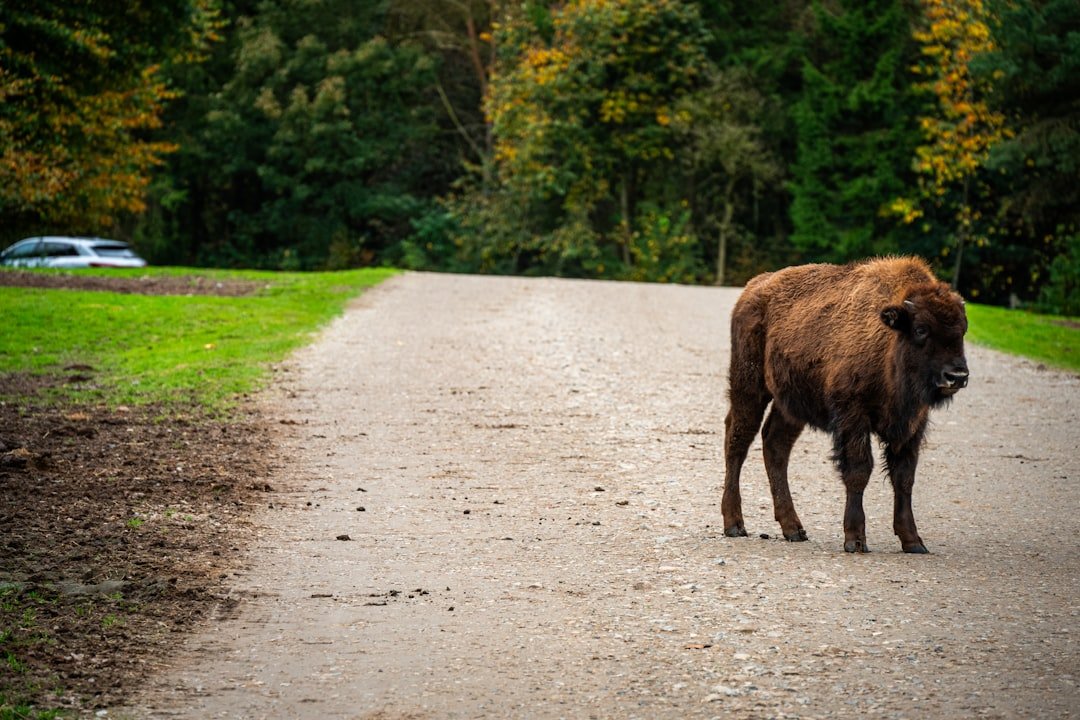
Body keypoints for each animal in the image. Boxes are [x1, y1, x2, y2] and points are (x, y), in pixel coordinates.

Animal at [722, 257, 969, 553]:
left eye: (963, 331)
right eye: (921, 329)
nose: (957, 376)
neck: (890, 338)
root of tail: (753, 287)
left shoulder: (911, 425)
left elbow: (904, 478)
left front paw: (913, 541)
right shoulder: (852, 416)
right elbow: (859, 470)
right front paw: (855, 539)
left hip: (790, 405)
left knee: (775, 446)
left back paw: (793, 529)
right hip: (749, 387)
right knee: (737, 442)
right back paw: (734, 524)